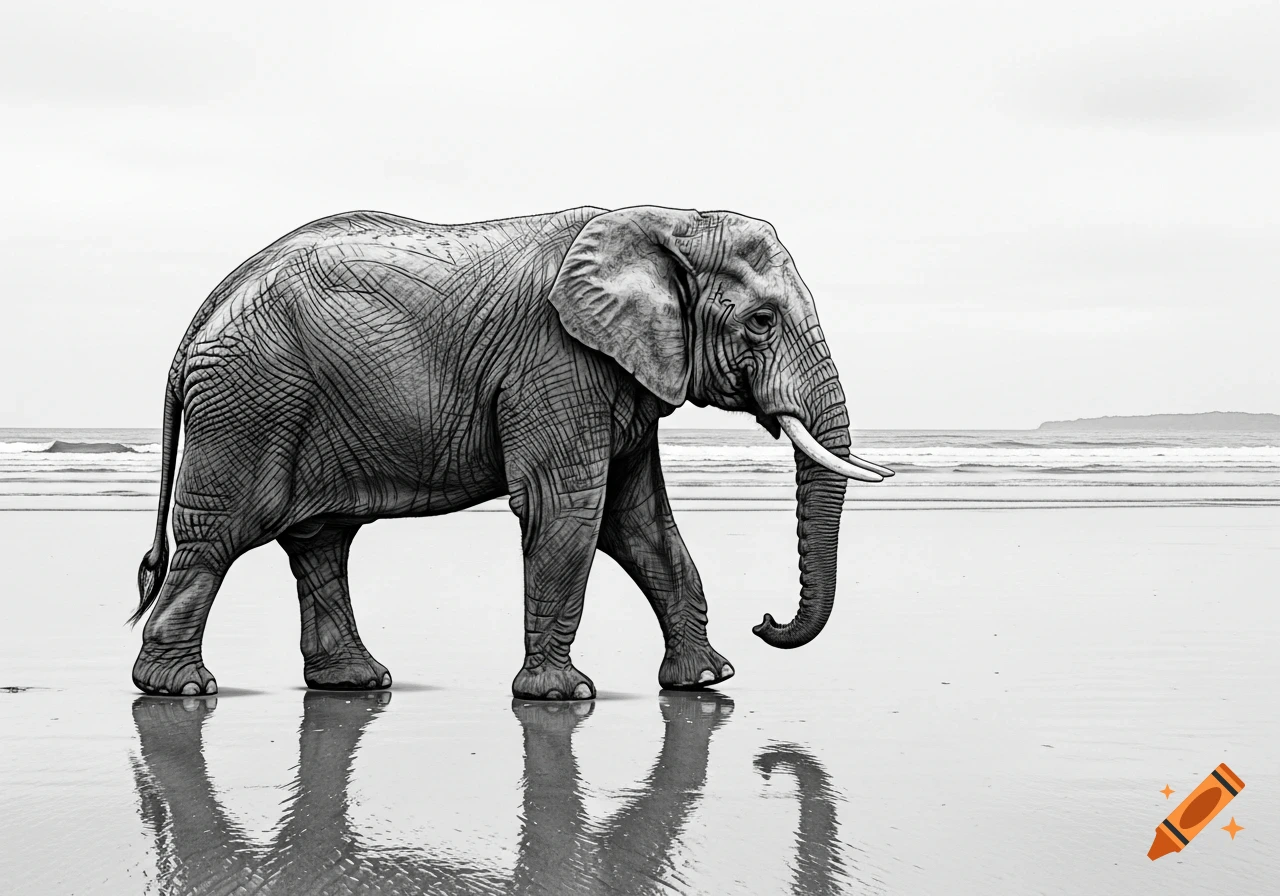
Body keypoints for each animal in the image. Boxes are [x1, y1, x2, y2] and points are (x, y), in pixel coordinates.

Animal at [129, 205, 893, 699]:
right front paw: (563, 695)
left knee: (320, 539)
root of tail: (201, 314)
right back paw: (181, 689)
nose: (766, 621)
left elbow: (640, 522)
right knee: (220, 536)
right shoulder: (556, 362)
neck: (669, 221)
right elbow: (570, 509)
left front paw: (707, 680)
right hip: (249, 401)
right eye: (761, 321)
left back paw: (356, 683)